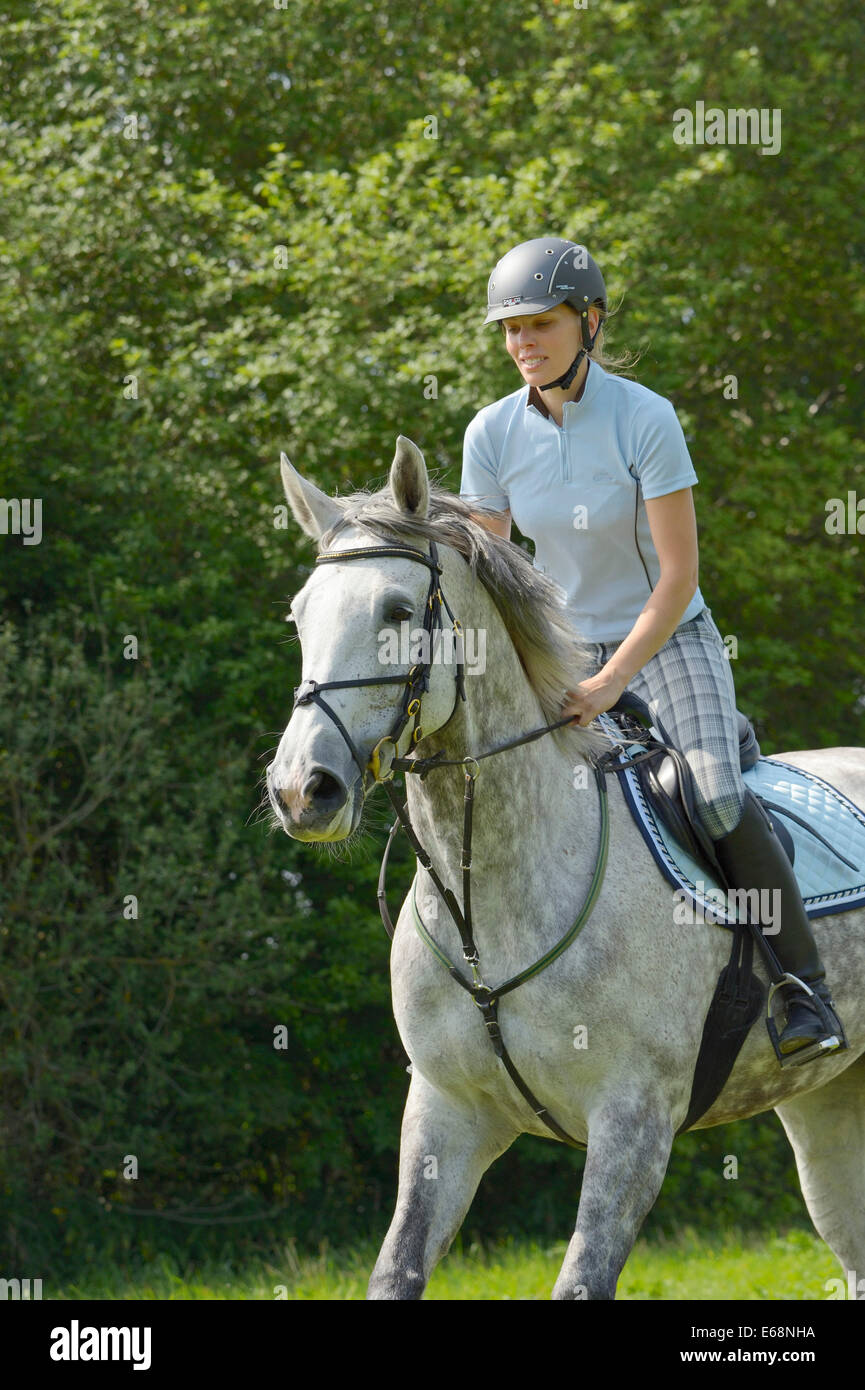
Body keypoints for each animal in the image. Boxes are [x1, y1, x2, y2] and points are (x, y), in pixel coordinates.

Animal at [267, 434, 865, 1300]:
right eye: (300, 616)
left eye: (398, 612)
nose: (301, 790)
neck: (490, 905)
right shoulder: (445, 1116)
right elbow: (397, 1269)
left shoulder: (633, 1124)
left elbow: (582, 1279)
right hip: (826, 1101)